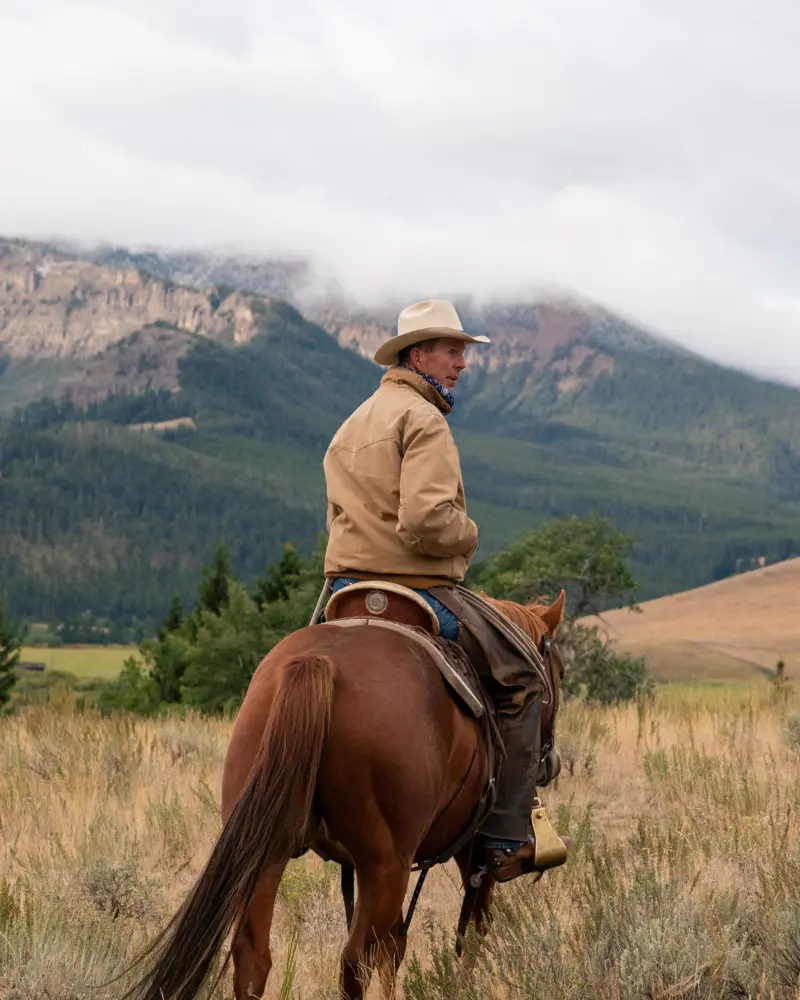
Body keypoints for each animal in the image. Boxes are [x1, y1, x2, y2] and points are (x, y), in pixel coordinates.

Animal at [122, 592, 564, 1000]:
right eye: (556, 671)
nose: (551, 762)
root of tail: (319, 663)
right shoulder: (467, 851)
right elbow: (470, 932)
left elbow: (398, 945)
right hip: (384, 866)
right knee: (355, 961)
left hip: (268, 854)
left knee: (254, 957)